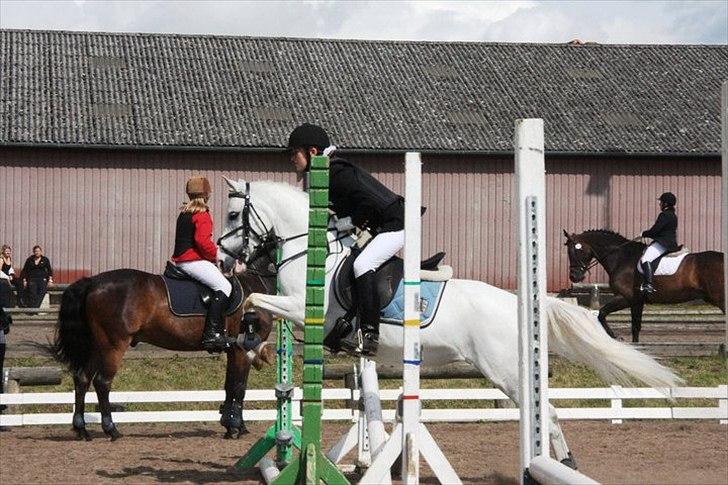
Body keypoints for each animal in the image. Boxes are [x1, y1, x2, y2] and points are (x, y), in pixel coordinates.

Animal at [50, 266, 272, 440]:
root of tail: (93, 282)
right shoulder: (243, 350)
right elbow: (239, 387)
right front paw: (236, 428)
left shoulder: (233, 351)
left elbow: (229, 387)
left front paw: (231, 424)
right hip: (113, 346)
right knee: (102, 383)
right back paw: (111, 430)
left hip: (98, 347)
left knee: (82, 379)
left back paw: (82, 429)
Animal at [219, 178, 684, 466]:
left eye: (231, 216)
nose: (223, 259)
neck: (315, 253)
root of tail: (514, 303)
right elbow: (255, 301)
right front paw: (251, 345)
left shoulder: (304, 310)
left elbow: (256, 299)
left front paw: (251, 345)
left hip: (505, 371)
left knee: (546, 412)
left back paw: (562, 462)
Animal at [564, 229, 724, 342]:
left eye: (576, 251)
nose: (574, 277)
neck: (622, 258)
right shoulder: (637, 301)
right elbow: (636, 327)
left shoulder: (626, 298)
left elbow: (602, 314)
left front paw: (616, 337)